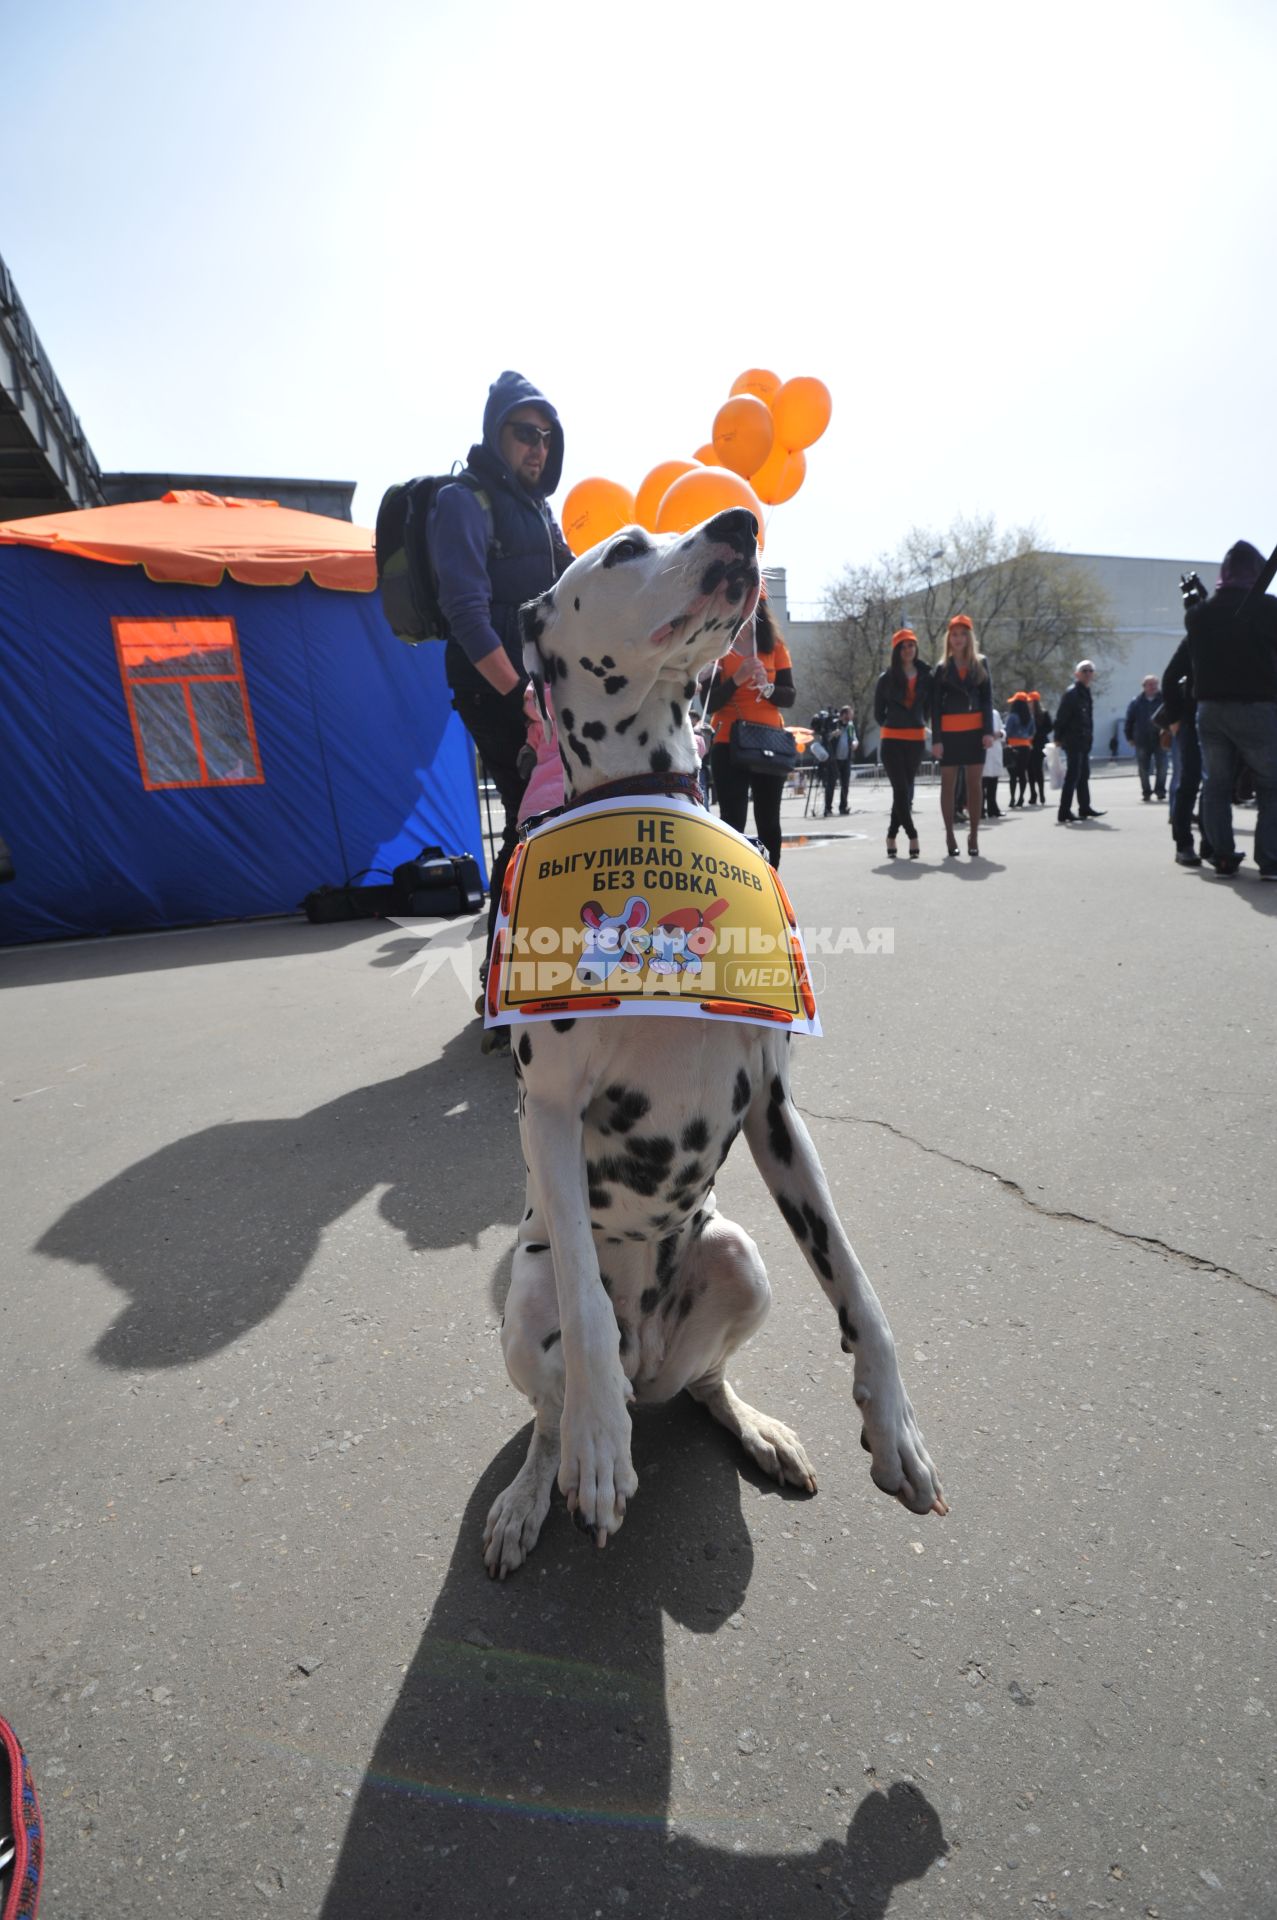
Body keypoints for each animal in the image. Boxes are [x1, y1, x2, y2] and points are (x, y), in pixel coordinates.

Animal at [483, 506, 940, 1574]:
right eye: (622, 550)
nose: (740, 520)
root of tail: (652, 1368)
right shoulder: (549, 1115)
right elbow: (585, 1314)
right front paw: (597, 1452)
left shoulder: (774, 1115)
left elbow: (856, 1284)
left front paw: (894, 1425)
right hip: (519, 1305)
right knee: (551, 1405)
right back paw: (541, 1482)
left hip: (739, 1259)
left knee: (703, 1382)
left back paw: (754, 1428)